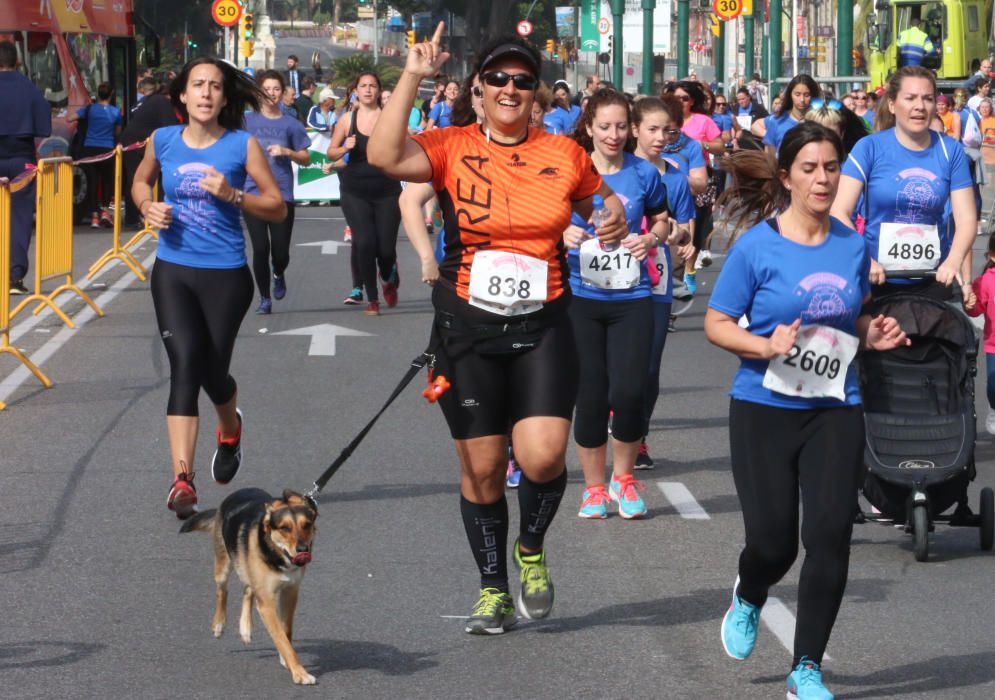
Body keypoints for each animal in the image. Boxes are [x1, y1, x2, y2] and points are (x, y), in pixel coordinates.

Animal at [181, 486, 318, 684]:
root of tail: (240, 490)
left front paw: (287, 659)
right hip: (224, 565)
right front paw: (300, 673)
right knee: (222, 591)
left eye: (306, 525)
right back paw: (219, 624)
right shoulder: (267, 602)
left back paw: (245, 628)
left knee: (247, 590)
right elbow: (280, 637)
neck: (276, 554)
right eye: (284, 528)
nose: (303, 550)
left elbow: (286, 631)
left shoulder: (290, 592)